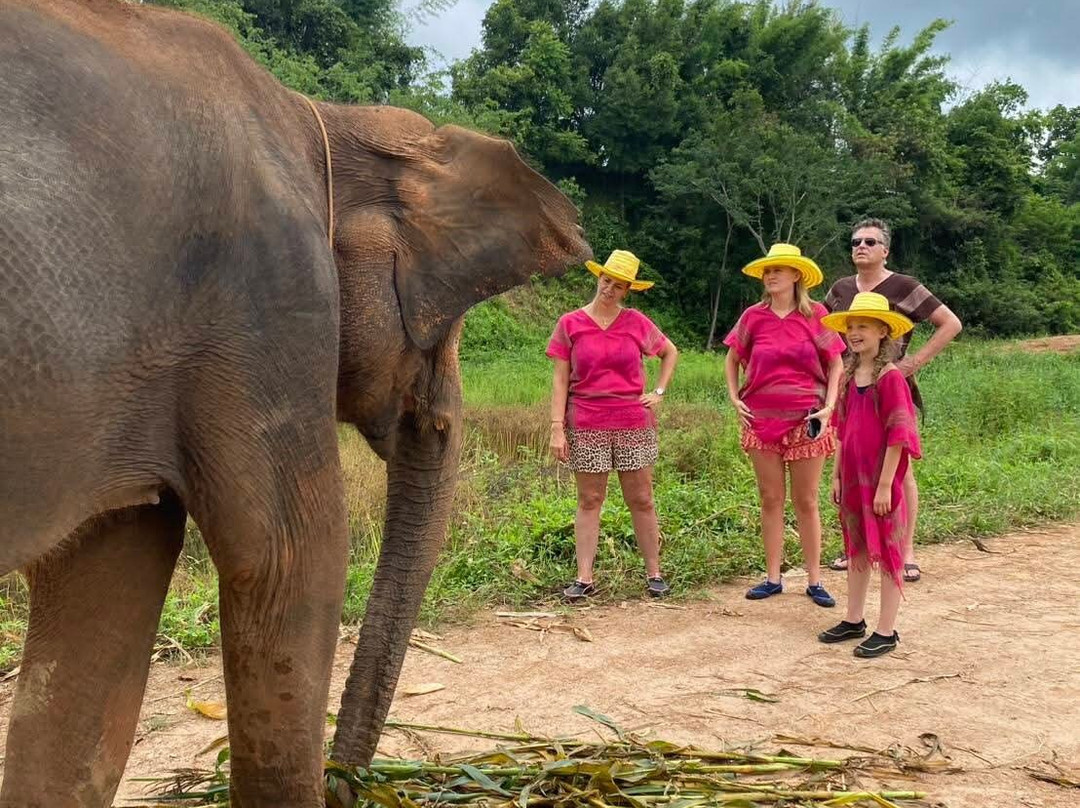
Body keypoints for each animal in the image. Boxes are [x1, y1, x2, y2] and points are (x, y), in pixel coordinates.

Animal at [0, 1, 590, 805]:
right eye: (441, 326)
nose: (345, 781)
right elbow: (293, 561)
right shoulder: (268, 301)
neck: (325, 118)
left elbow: (107, 584)